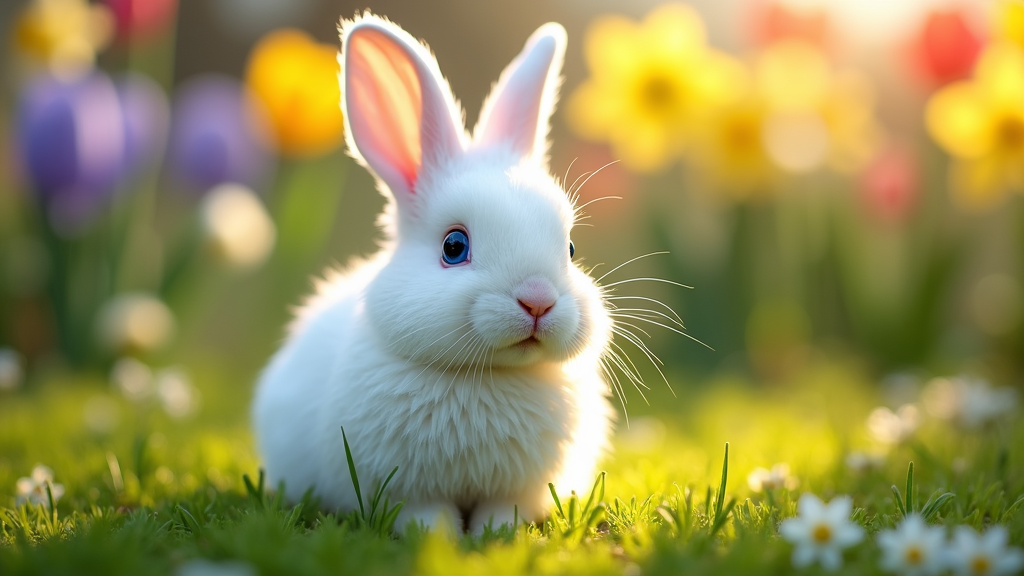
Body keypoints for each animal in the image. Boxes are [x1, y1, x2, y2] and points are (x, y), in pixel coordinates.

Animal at [250, 12, 610, 532]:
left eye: (571, 248)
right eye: (454, 247)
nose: (538, 300)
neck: (486, 375)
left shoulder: (515, 490)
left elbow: (504, 510)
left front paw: (495, 534)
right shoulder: (405, 488)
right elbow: (424, 513)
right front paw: (439, 536)